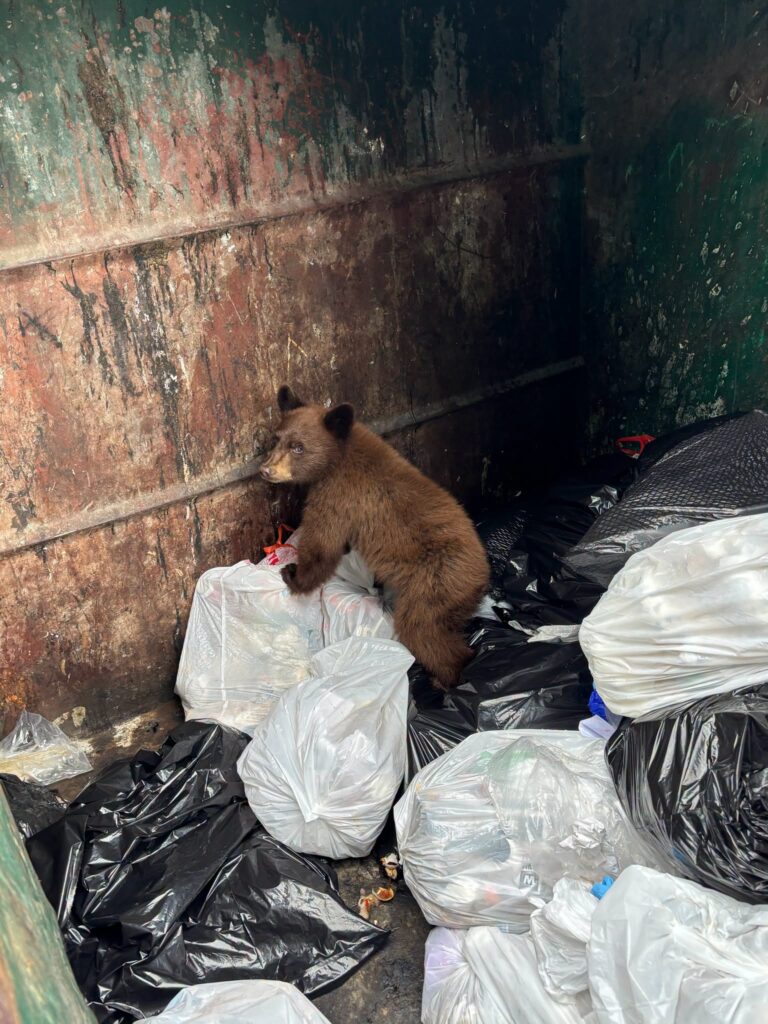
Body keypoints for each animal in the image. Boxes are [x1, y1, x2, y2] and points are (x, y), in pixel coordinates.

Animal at [260, 385, 490, 687]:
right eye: (276, 439)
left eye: (298, 447)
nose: (266, 470)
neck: (338, 457)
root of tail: (483, 576)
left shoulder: (338, 496)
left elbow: (323, 542)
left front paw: (293, 576)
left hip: (435, 585)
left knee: (422, 630)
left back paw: (446, 678)